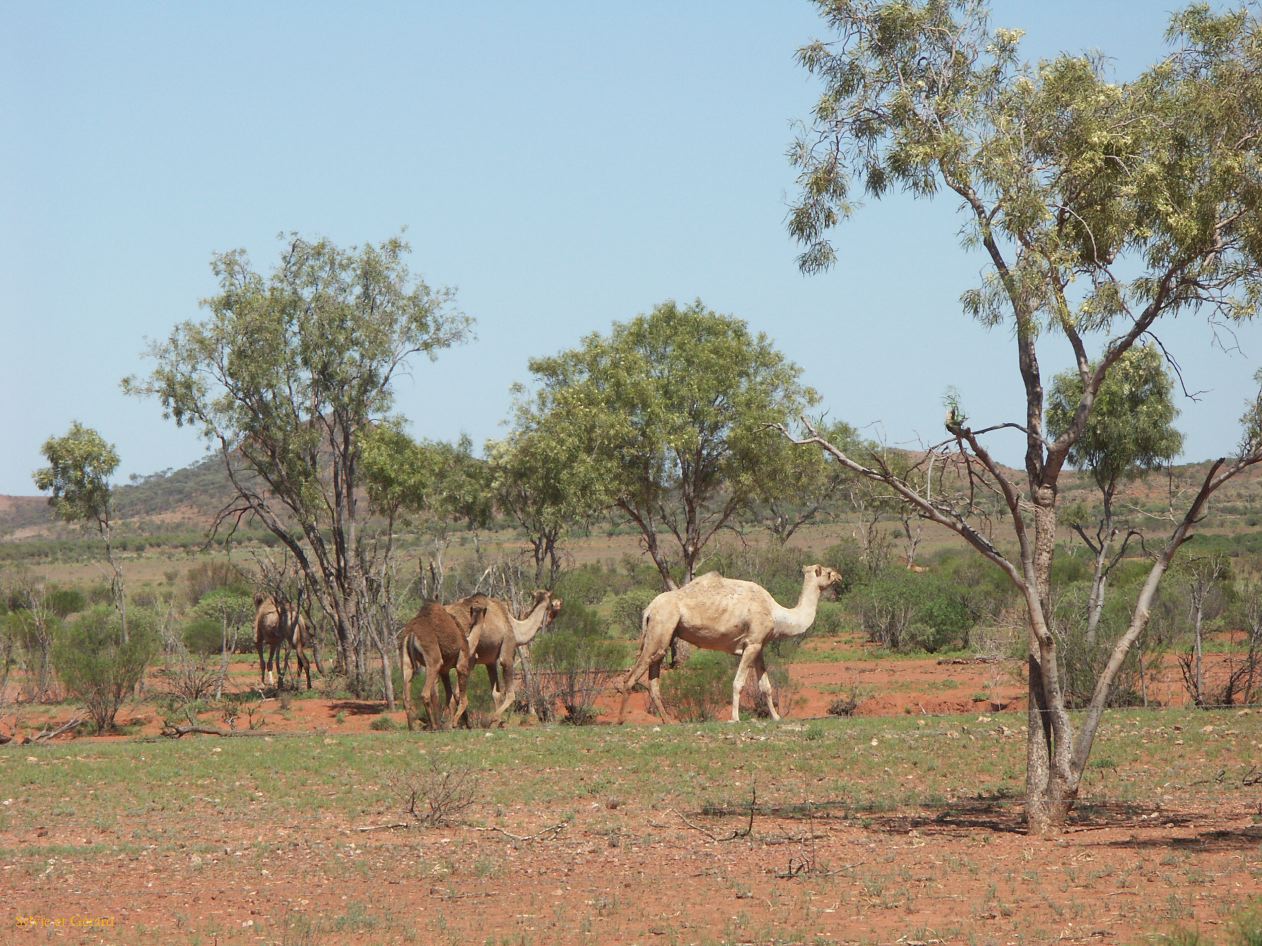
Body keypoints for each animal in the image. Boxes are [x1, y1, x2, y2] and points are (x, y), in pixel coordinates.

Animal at [399, 601, 485, 731]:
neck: (469, 643)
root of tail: (412, 634)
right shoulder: (461, 664)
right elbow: (460, 697)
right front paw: (455, 724)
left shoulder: (444, 670)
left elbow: (449, 695)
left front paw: (449, 723)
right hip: (433, 660)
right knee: (425, 693)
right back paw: (434, 726)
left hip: (407, 663)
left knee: (406, 695)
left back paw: (413, 727)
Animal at [445, 590, 562, 724]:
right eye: (552, 603)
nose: (558, 603)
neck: (516, 629)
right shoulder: (507, 651)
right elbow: (510, 694)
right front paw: (495, 720)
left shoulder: (490, 661)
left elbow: (496, 693)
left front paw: (497, 722)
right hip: (467, 654)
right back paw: (459, 722)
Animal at [617, 564, 843, 724]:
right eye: (828, 572)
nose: (840, 576)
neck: (776, 614)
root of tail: (648, 610)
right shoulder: (752, 644)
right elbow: (738, 682)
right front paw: (735, 718)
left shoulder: (758, 646)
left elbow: (766, 686)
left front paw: (776, 717)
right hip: (661, 626)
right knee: (633, 674)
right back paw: (620, 720)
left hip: (665, 633)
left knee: (654, 675)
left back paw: (667, 721)